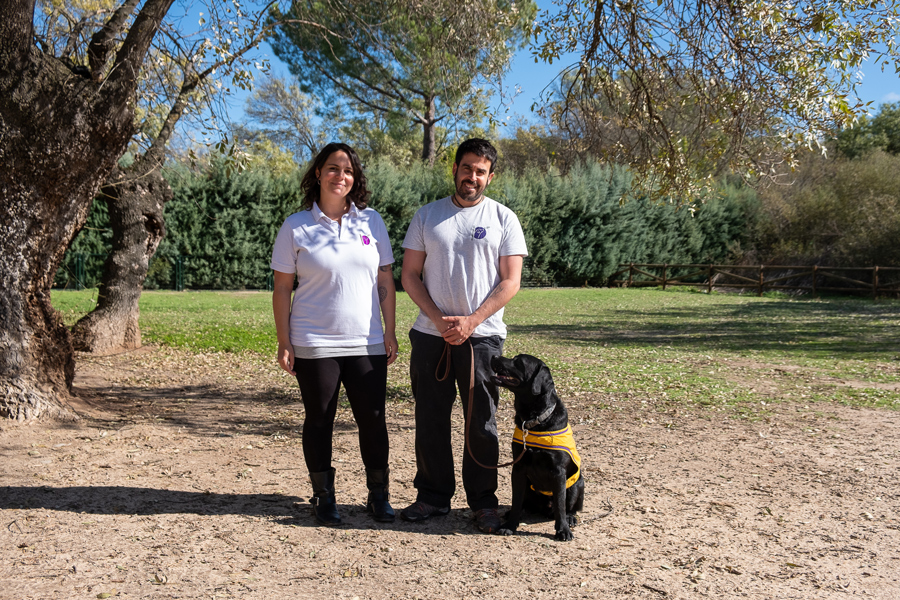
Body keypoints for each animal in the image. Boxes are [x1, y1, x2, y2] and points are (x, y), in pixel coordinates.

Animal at [492, 354, 584, 540]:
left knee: (570, 508)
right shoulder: (518, 468)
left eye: (518, 361)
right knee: (524, 504)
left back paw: (570, 518)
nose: (494, 356)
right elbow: (516, 500)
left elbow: (560, 505)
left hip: (578, 484)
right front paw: (510, 525)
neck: (535, 419)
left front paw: (563, 530)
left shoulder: (558, 472)